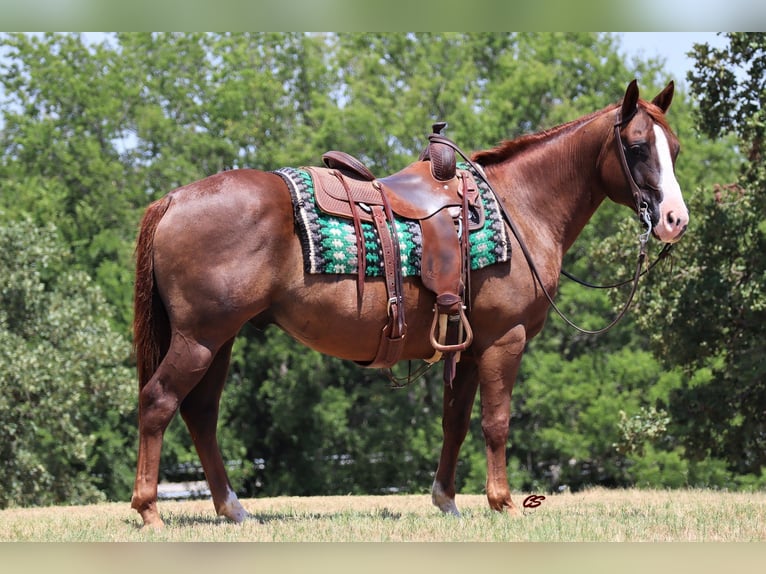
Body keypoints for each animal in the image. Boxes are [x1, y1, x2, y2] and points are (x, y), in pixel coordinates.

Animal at [130, 79, 688, 528]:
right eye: (638, 146)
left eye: (676, 149)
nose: (674, 219)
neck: (520, 207)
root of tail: (174, 200)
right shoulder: (504, 340)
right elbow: (496, 422)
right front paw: (503, 502)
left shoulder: (468, 344)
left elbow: (455, 421)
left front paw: (447, 501)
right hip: (200, 338)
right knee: (158, 402)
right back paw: (149, 509)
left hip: (218, 340)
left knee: (200, 413)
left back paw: (232, 509)